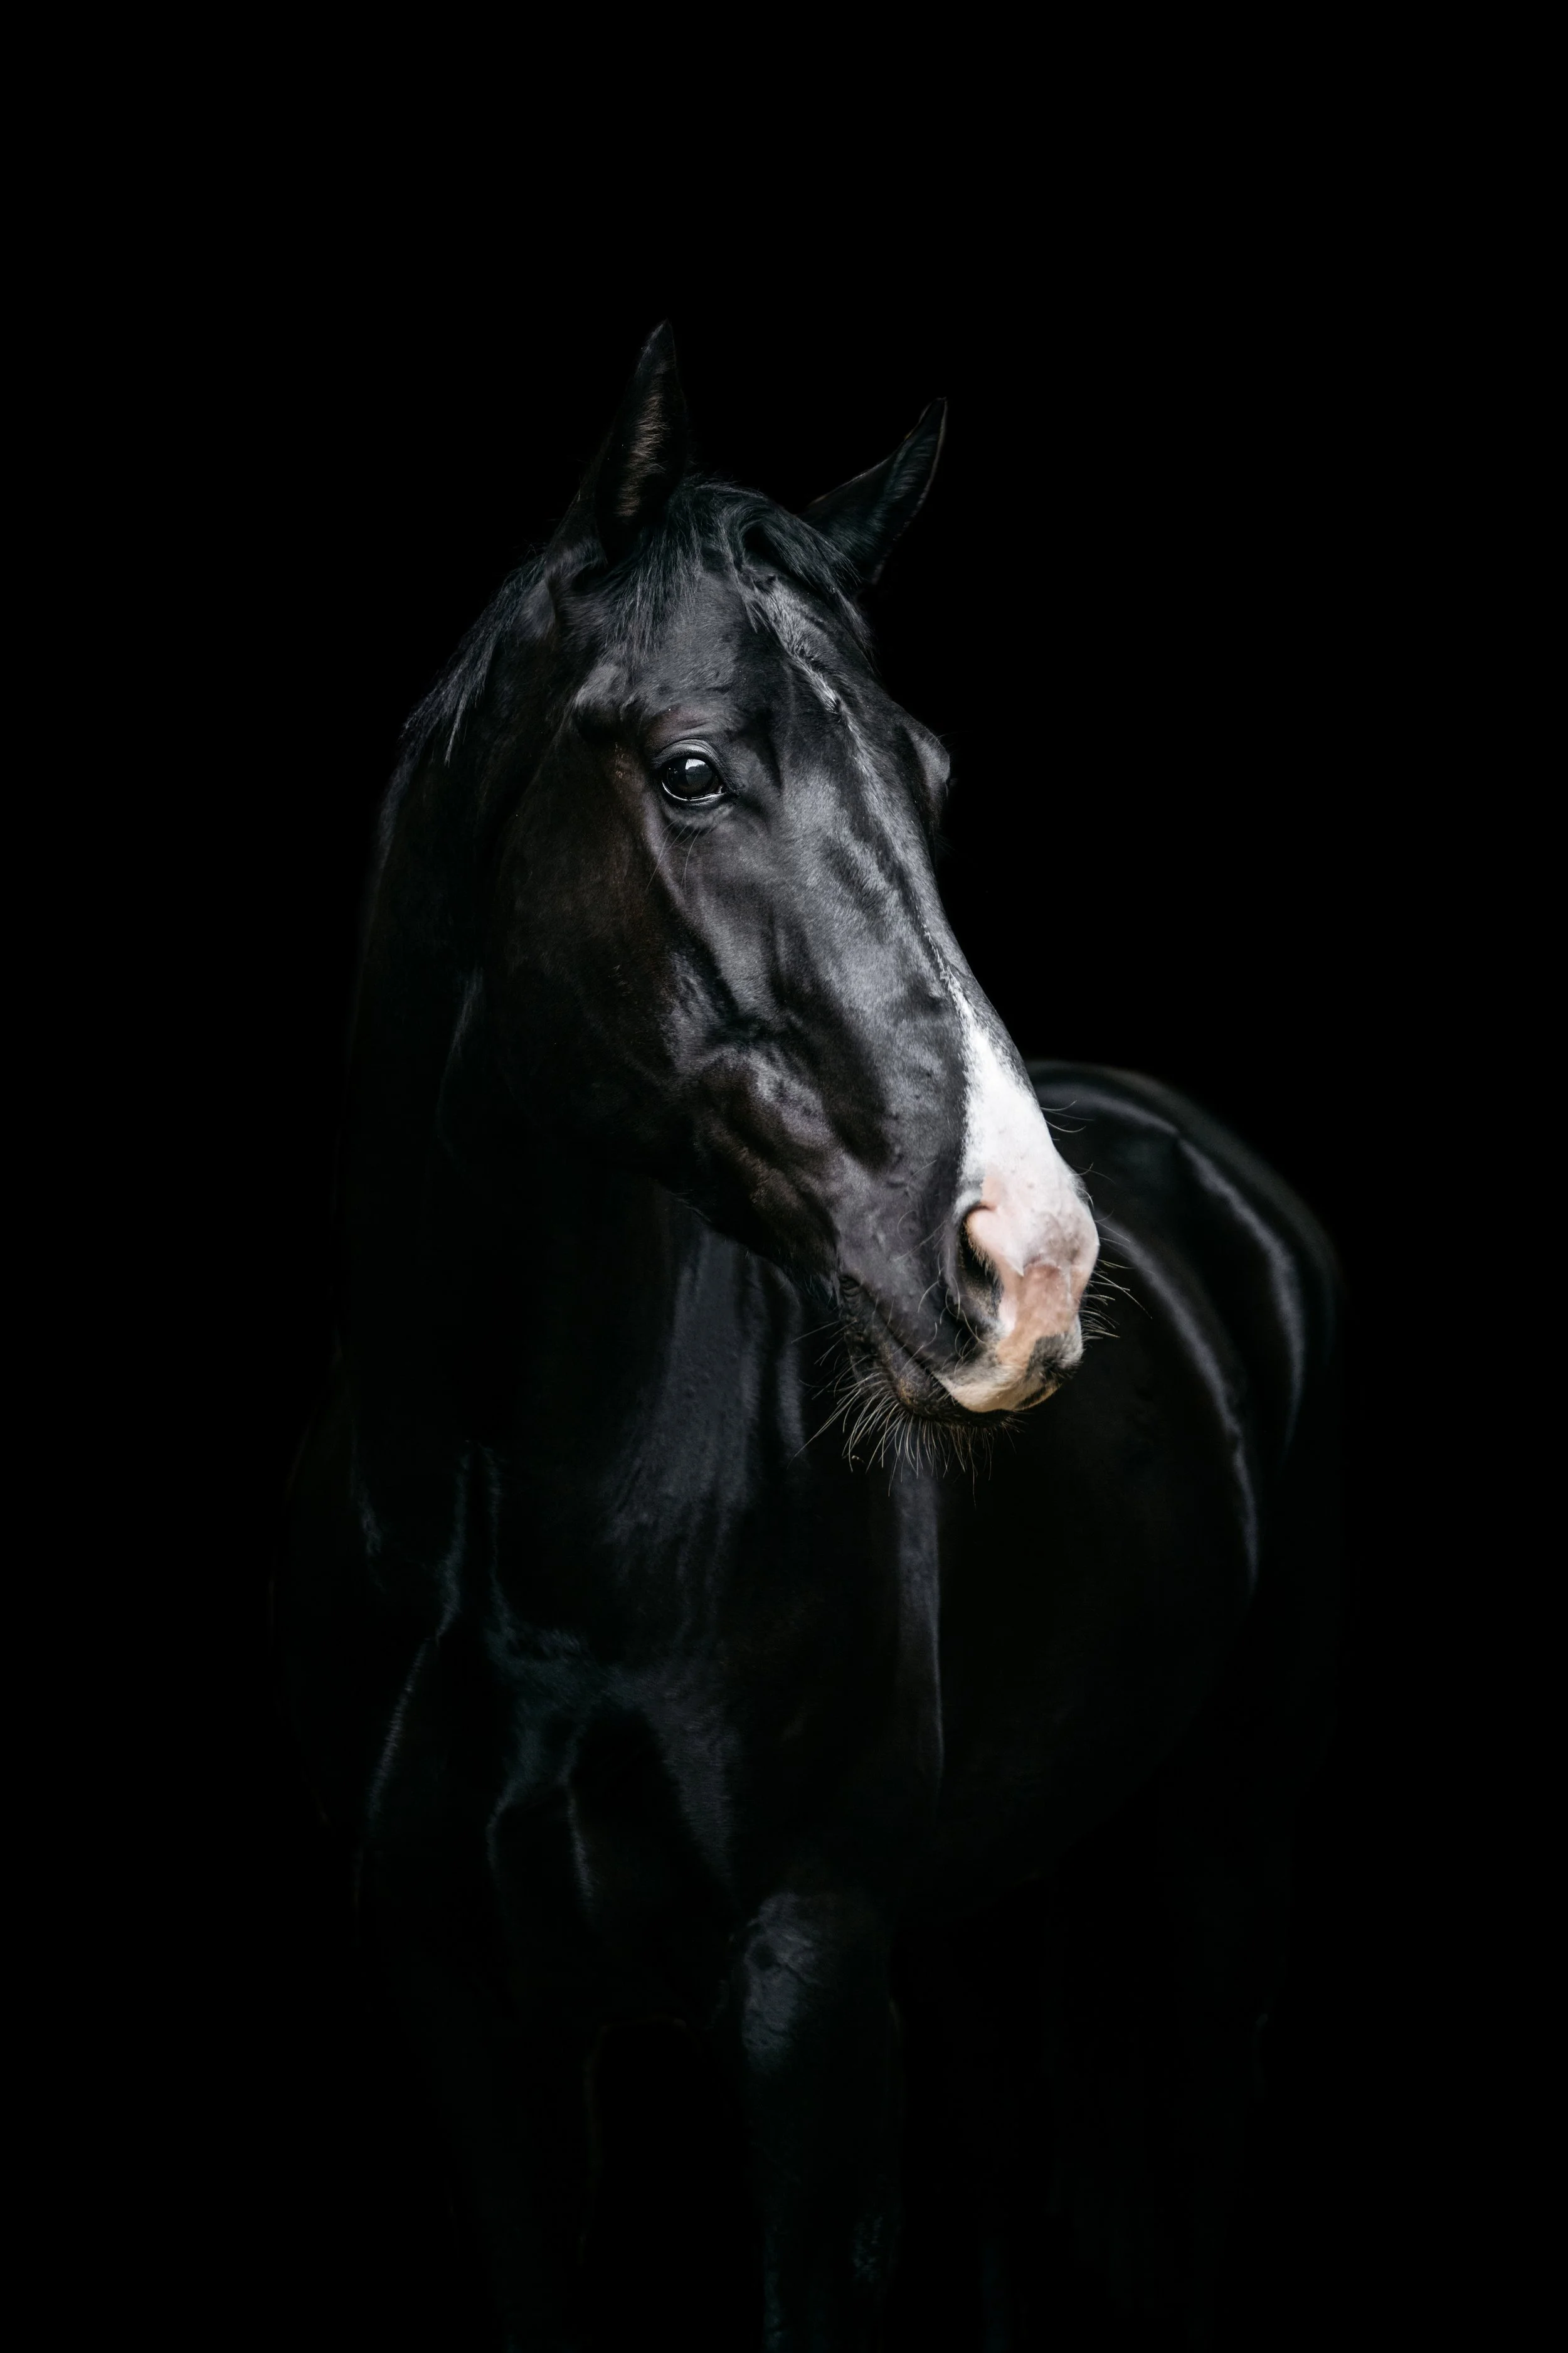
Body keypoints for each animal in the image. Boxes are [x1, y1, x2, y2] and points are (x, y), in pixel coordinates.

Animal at [279, 324, 1342, 2350]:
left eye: (929, 774)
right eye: (692, 770)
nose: (1030, 1263)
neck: (519, 1547)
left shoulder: (808, 1997)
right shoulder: (474, 2036)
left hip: (1226, 1843)